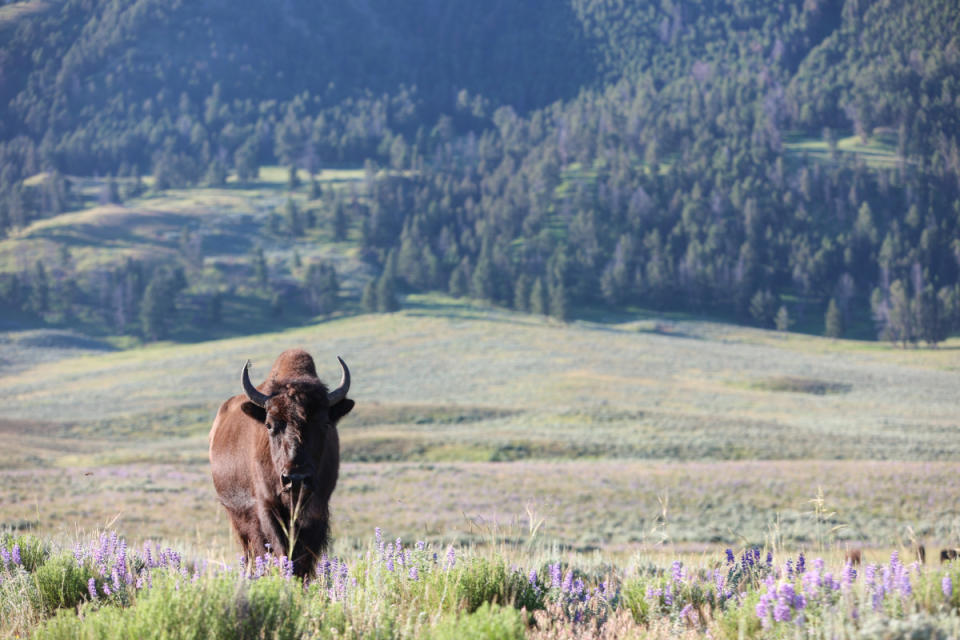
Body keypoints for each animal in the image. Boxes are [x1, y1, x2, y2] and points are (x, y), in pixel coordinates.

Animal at [208, 348, 354, 576]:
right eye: (269, 424)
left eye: (325, 423)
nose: (296, 477)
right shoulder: (267, 507)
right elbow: (280, 549)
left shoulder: (316, 509)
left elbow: (303, 557)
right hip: (237, 516)